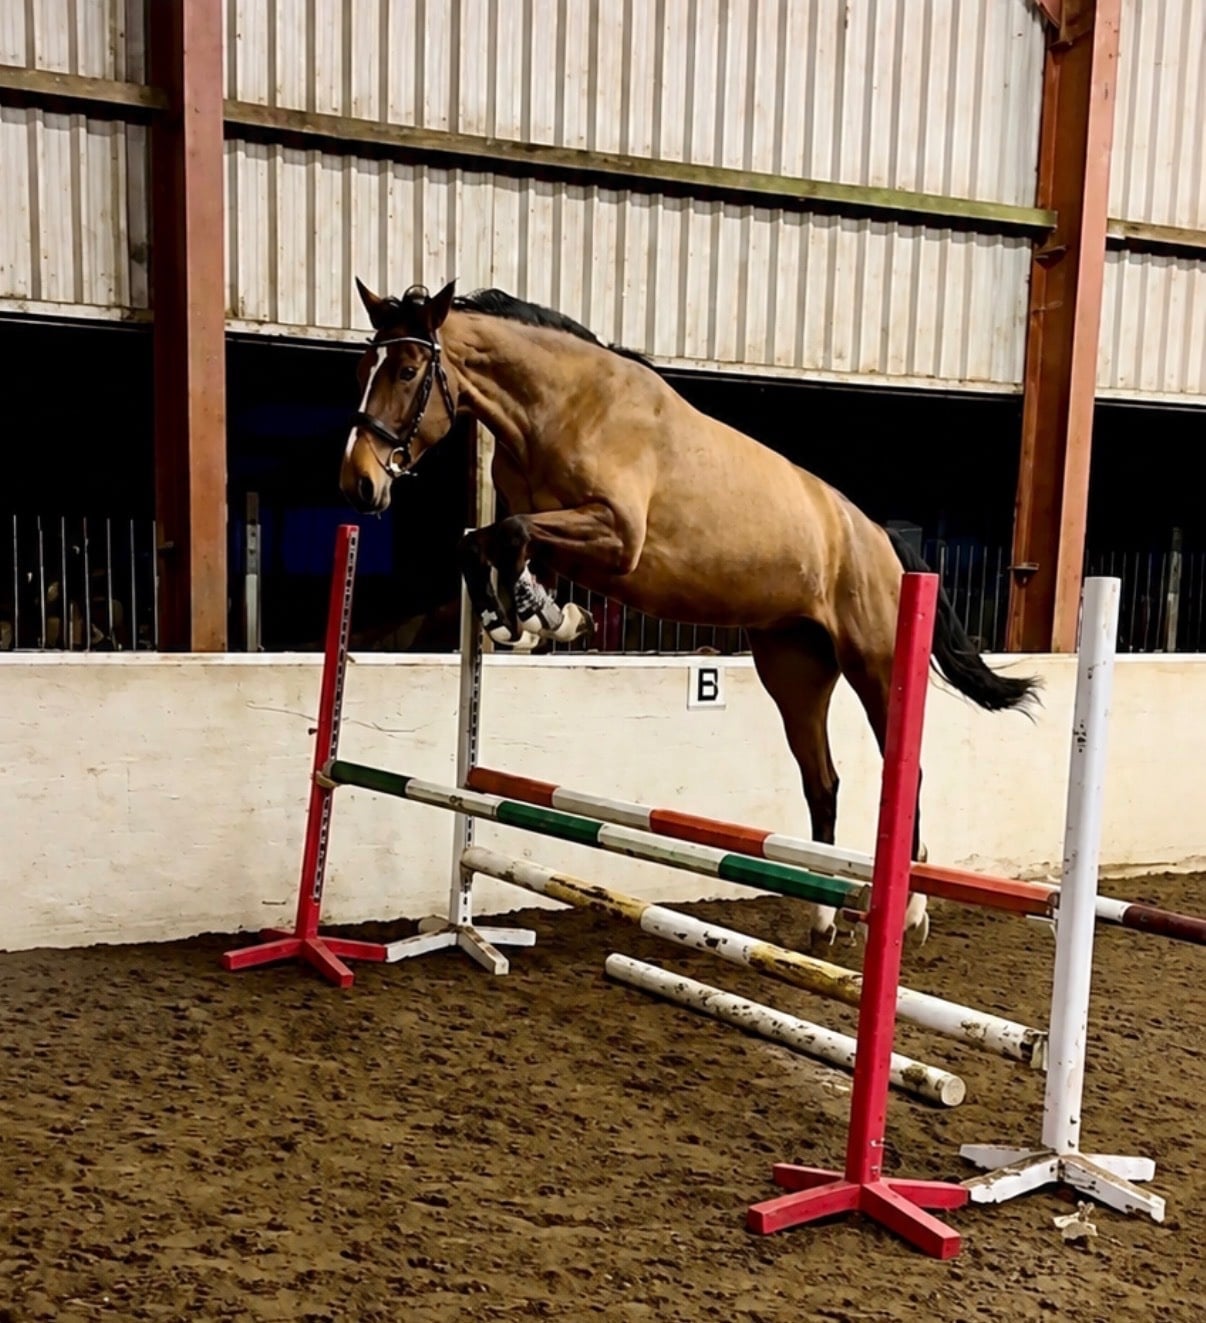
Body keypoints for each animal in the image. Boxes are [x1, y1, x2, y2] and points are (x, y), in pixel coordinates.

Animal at [339, 279, 1040, 948]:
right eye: (364, 367)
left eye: (407, 371)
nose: (359, 484)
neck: (559, 407)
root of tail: (884, 543)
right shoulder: (557, 534)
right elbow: (483, 543)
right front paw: (531, 618)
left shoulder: (616, 537)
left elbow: (508, 536)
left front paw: (532, 620)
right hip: (795, 669)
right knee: (823, 782)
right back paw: (821, 922)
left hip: (877, 668)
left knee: (907, 773)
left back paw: (912, 913)